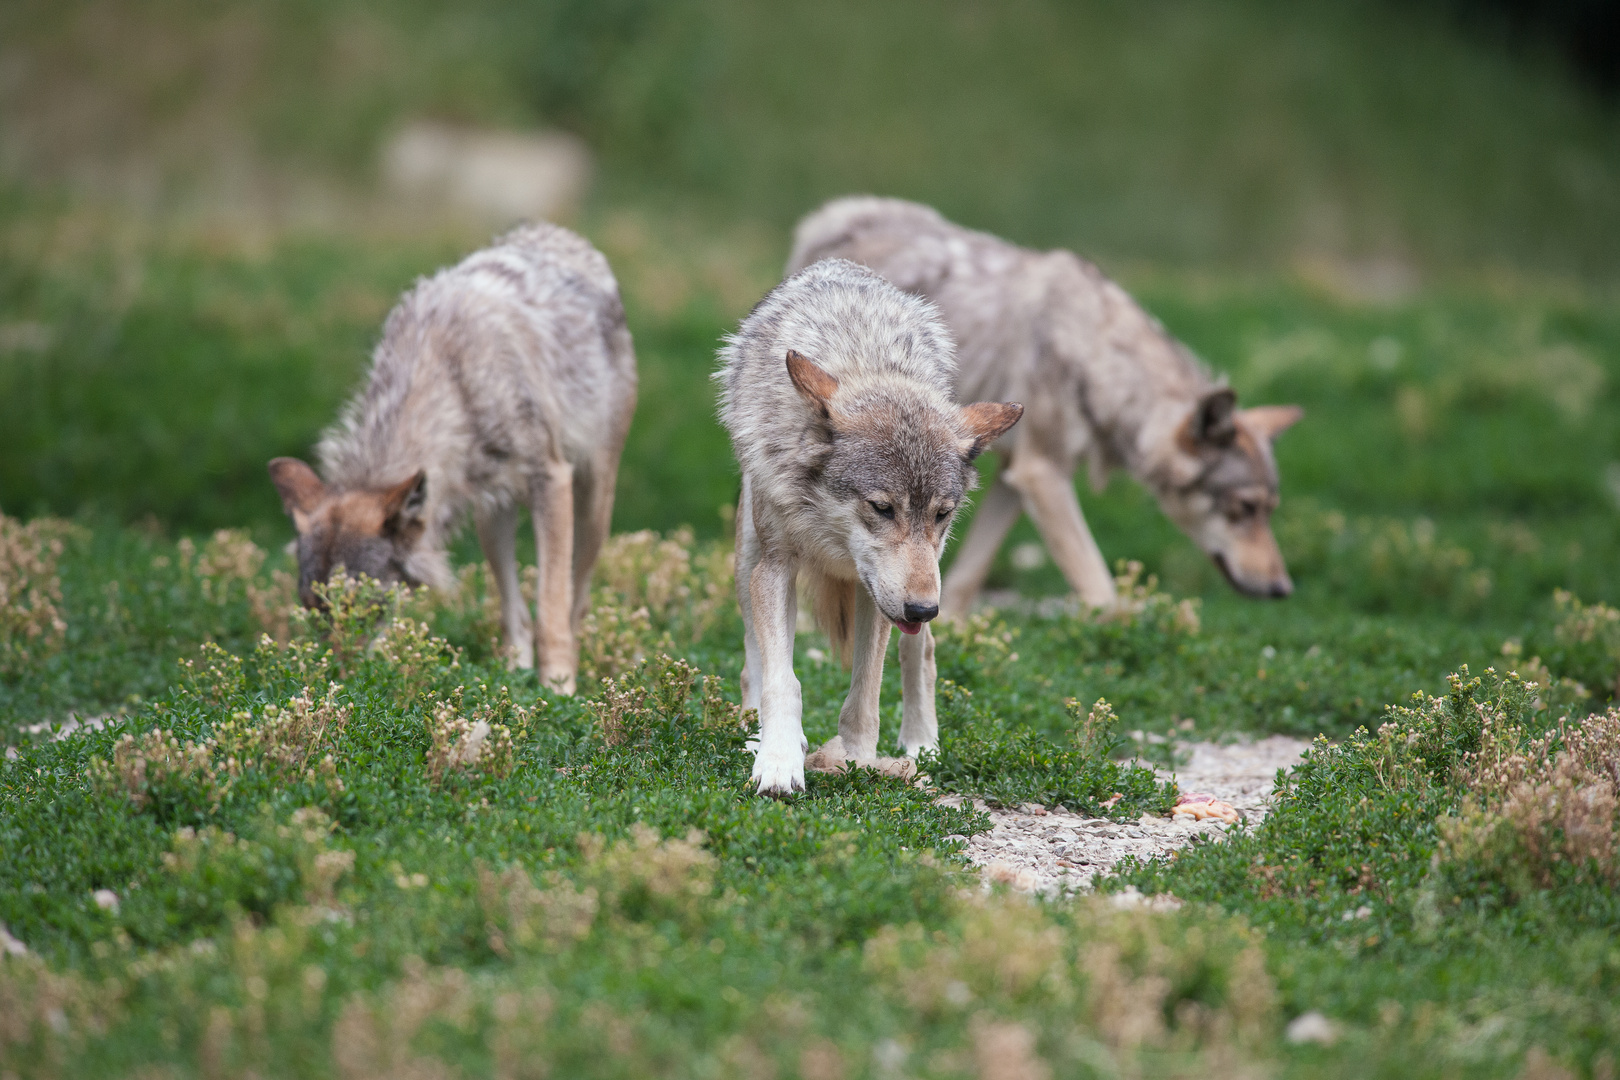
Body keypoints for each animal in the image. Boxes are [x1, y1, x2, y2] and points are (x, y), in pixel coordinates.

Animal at [268, 221, 635, 693]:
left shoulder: (551, 478)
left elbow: (552, 606)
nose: (340, 683)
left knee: (576, 601)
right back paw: (511, 674)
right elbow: (522, 610)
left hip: (593, 507)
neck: (448, 374)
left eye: (365, 611)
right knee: (513, 611)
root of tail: (557, 232)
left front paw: (559, 689)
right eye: (314, 612)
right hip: (491, 517)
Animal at [722, 257, 1023, 790]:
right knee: (753, 658)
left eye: (942, 513)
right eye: (882, 508)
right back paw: (756, 732)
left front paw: (858, 760)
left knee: (921, 654)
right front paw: (778, 761)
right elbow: (783, 680)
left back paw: (923, 744)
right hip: (749, 557)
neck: (863, 362)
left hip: (923, 579)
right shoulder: (777, 567)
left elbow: (866, 691)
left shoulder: (883, 595)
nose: (924, 609)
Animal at [784, 197, 1302, 612]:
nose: (1282, 589)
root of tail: (835, 213)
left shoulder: (1016, 477)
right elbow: (1100, 588)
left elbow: (968, 576)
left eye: (1269, 510)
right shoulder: (1043, 474)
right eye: (1244, 508)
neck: (1095, 353)